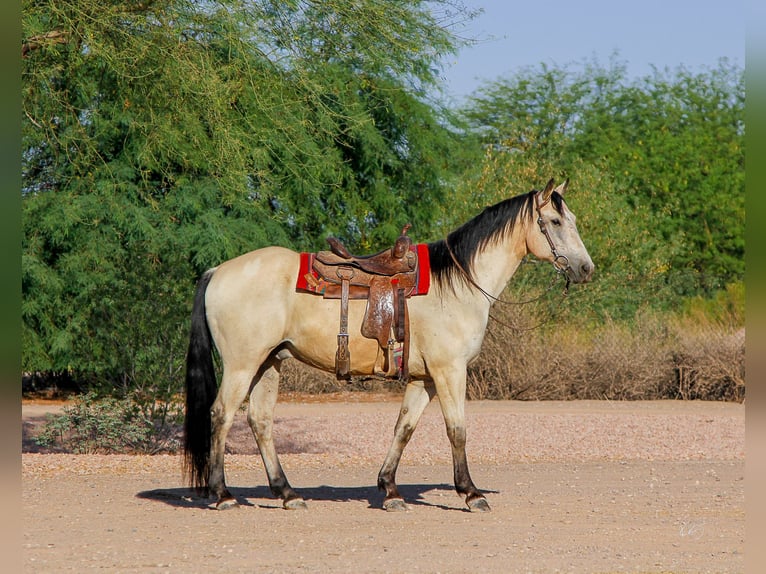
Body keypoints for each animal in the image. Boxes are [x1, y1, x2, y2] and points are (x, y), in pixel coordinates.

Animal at [183, 178, 594, 512]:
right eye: (555, 222)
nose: (586, 269)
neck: (457, 284)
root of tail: (218, 271)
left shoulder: (424, 378)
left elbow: (404, 428)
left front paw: (390, 490)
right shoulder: (449, 371)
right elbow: (457, 429)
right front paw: (471, 493)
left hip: (269, 362)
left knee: (260, 421)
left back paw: (287, 494)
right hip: (243, 364)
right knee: (221, 414)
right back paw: (223, 495)